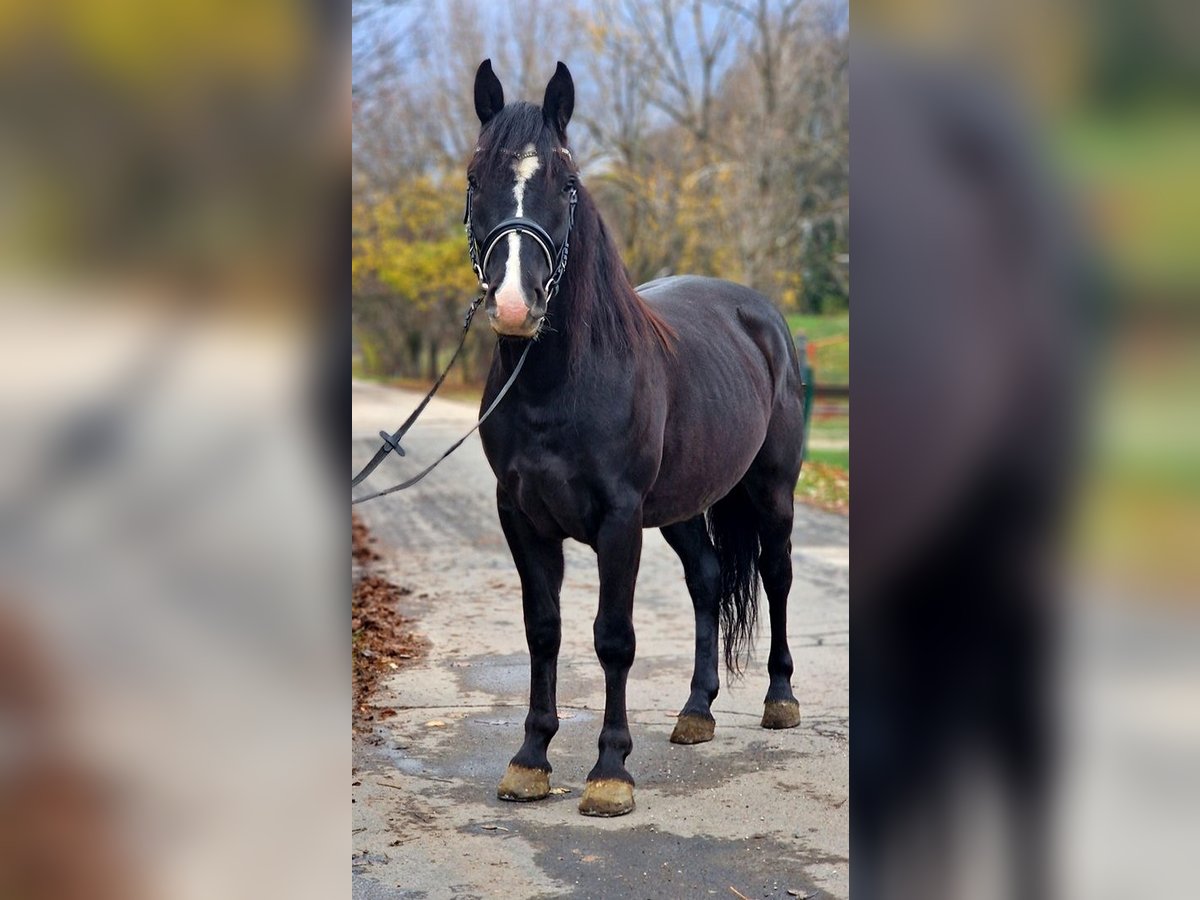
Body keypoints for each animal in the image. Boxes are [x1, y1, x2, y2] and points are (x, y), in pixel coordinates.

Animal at [469, 59, 806, 817]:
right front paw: (530, 761)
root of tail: (762, 317)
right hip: (682, 507)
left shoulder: (619, 520)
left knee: (776, 575)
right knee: (707, 580)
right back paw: (696, 712)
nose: (514, 305)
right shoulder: (520, 518)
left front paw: (610, 773)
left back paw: (780, 699)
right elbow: (544, 630)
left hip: (772, 492)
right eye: (475, 179)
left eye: (566, 184)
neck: (556, 386)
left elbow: (613, 638)